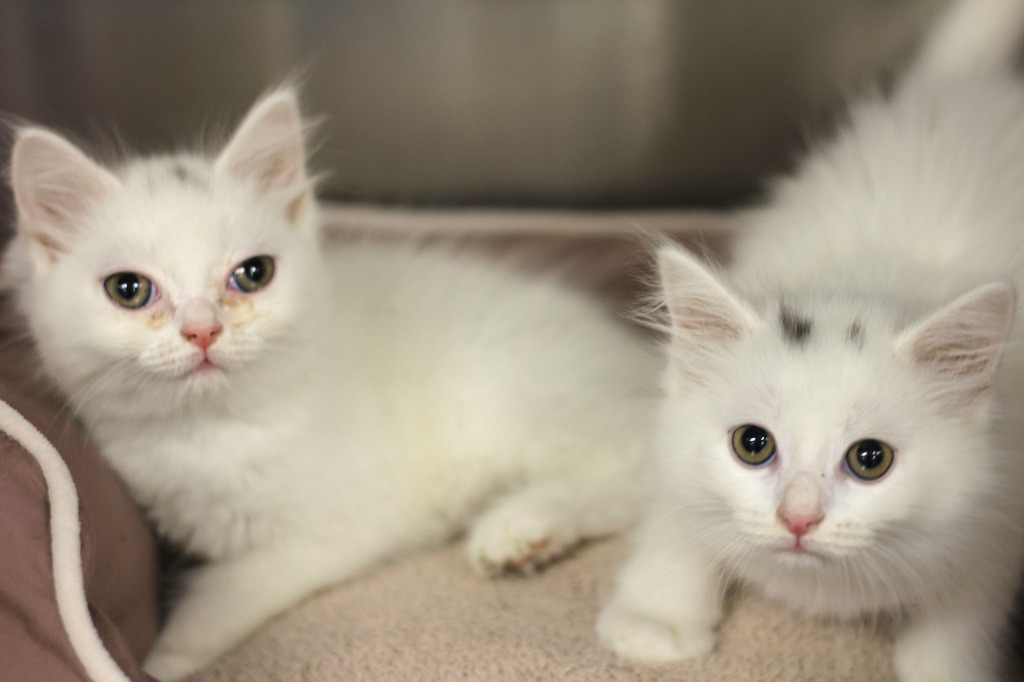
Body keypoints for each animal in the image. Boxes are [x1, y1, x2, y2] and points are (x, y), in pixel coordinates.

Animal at [2, 87, 655, 675]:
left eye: (253, 274)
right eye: (128, 289)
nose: (203, 330)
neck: (211, 432)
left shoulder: (337, 529)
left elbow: (224, 595)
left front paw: (164, 657)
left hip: (512, 402)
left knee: (628, 473)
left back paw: (519, 529)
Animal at [598, 1, 1024, 679]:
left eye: (870, 459)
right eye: (752, 444)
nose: (798, 518)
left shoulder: (1000, 509)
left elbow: (963, 612)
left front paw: (948, 669)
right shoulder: (671, 440)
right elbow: (677, 518)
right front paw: (654, 621)